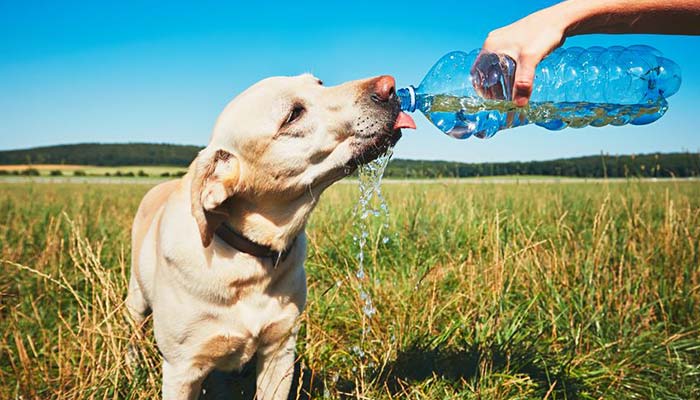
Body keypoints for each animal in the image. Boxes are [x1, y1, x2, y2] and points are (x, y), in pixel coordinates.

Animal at [126, 73, 416, 398]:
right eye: (293, 115)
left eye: (319, 83)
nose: (389, 86)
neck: (249, 258)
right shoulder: (181, 370)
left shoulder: (280, 351)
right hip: (136, 300)